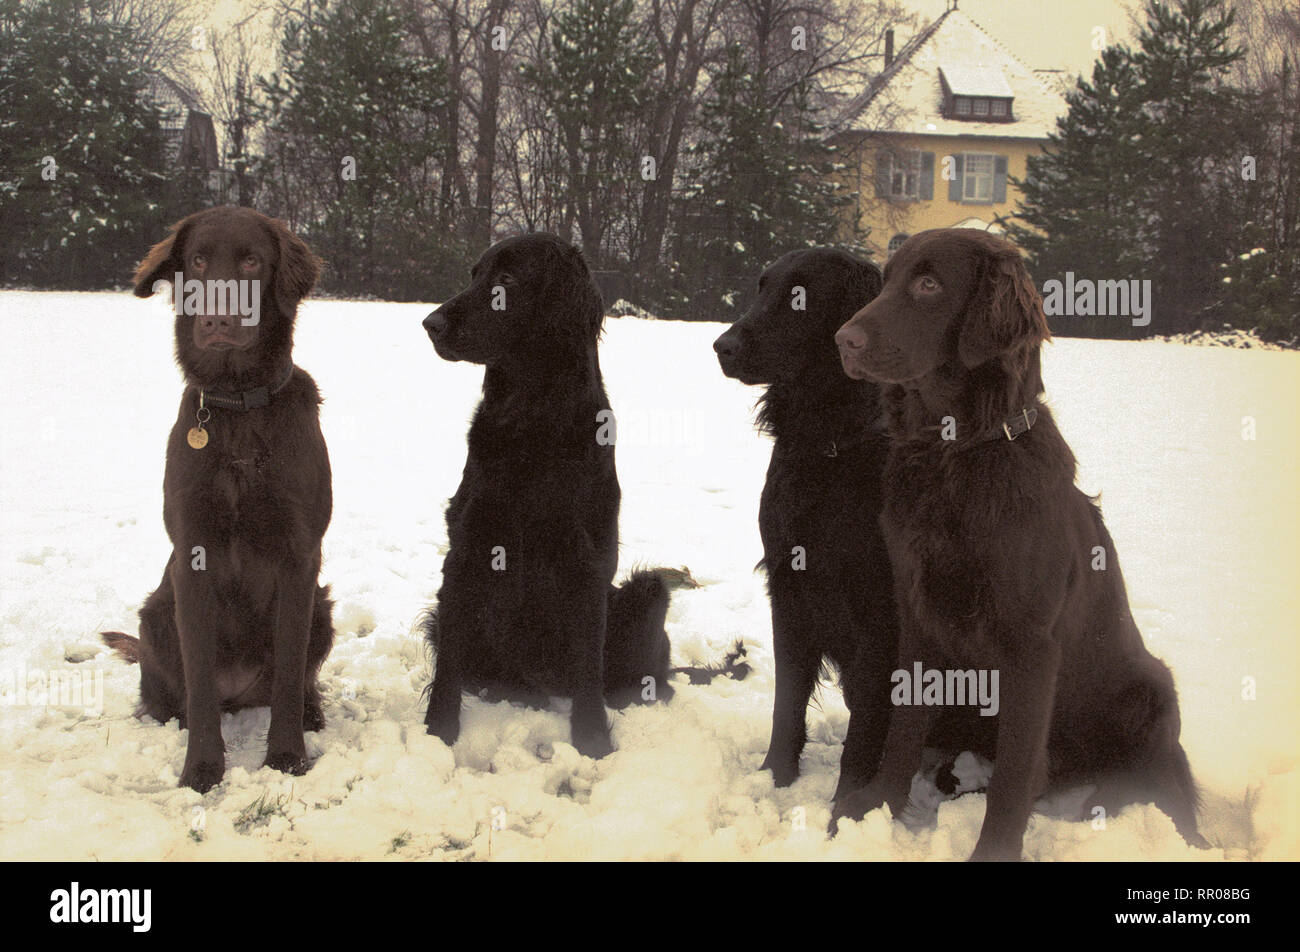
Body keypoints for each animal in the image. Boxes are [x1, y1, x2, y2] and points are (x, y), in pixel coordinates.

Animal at [102, 208, 335, 795]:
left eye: (252, 260)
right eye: (199, 261)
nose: (217, 320)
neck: (236, 411)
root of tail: (242, 694)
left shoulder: (300, 556)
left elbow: (289, 671)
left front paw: (287, 757)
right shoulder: (193, 553)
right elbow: (201, 682)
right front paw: (202, 769)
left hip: (324, 606)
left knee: (296, 681)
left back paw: (312, 711)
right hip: (156, 613)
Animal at [423, 232, 670, 759]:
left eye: (506, 279)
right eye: (474, 274)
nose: (430, 324)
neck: (531, 419)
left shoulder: (586, 562)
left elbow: (588, 665)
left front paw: (592, 738)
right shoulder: (466, 549)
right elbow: (448, 662)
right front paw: (438, 732)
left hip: (648, 592)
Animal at [826, 230, 1201, 863]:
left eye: (930, 283)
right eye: (887, 278)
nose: (842, 341)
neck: (955, 453)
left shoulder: (1032, 644)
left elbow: (1016, 770)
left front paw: (994, 850)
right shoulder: (917, 615)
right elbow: (903, 728)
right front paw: (874, 807)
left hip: (1153, 689)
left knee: (1166, 785)